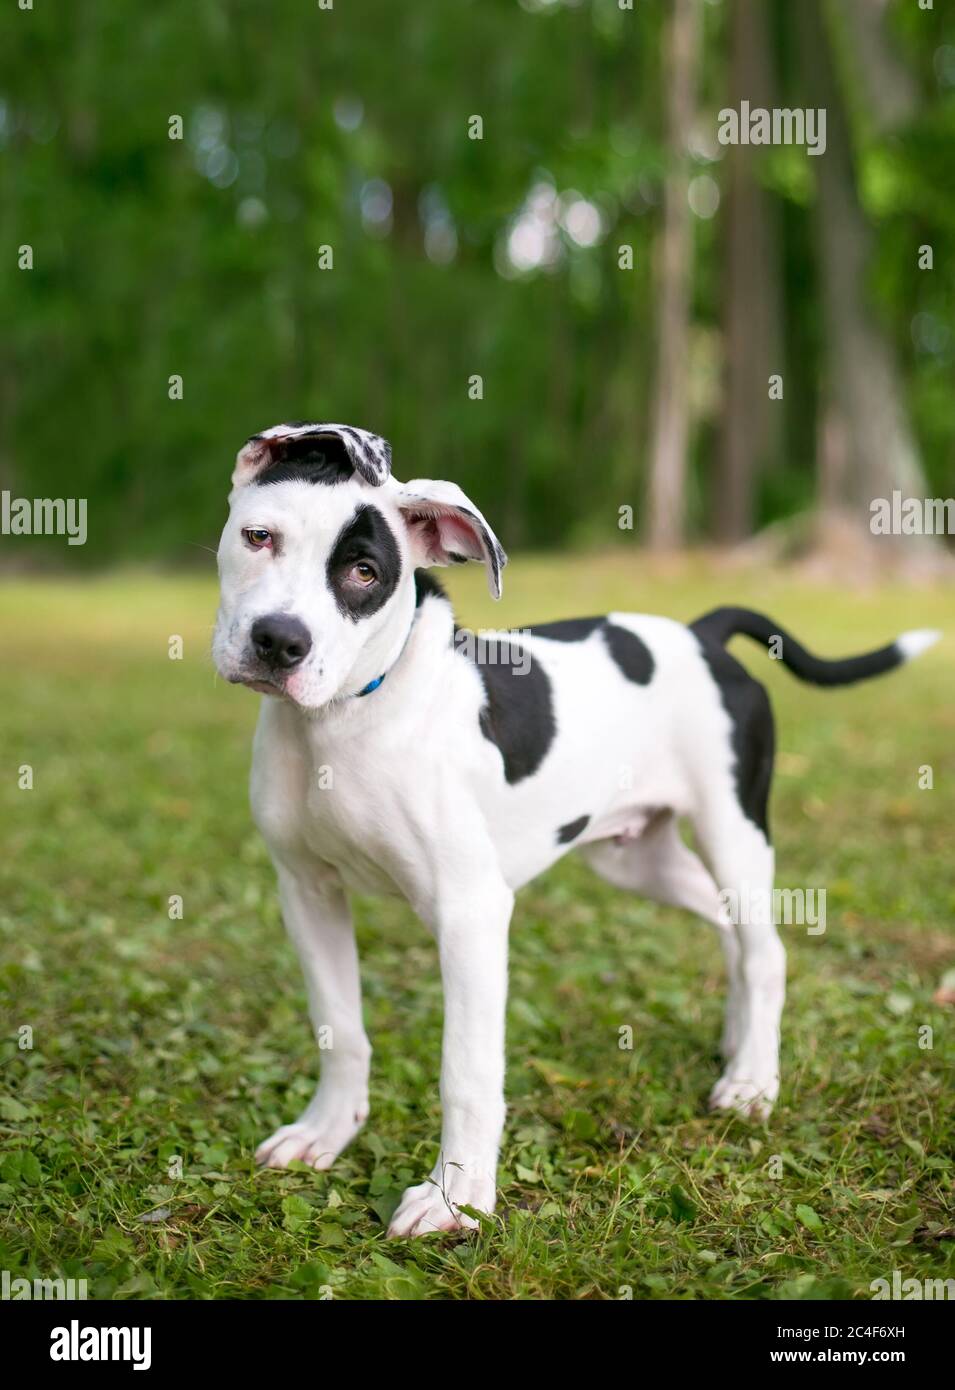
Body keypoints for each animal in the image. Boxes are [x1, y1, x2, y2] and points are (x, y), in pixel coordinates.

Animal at [215, 417, 939, 1234]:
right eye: (259, 536)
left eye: (365, 573)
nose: (279, 642)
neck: (349, 716)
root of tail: (703, 633)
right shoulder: (306, 890)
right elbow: (338, 1027)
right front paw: (327, 1132)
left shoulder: (470, 914)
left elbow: (466, 1071)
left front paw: (455, 1198)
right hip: (634, 859)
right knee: (727, 929)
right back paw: (736, 1041)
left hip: (735, 830)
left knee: (765, 951)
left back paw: (752, 1080)